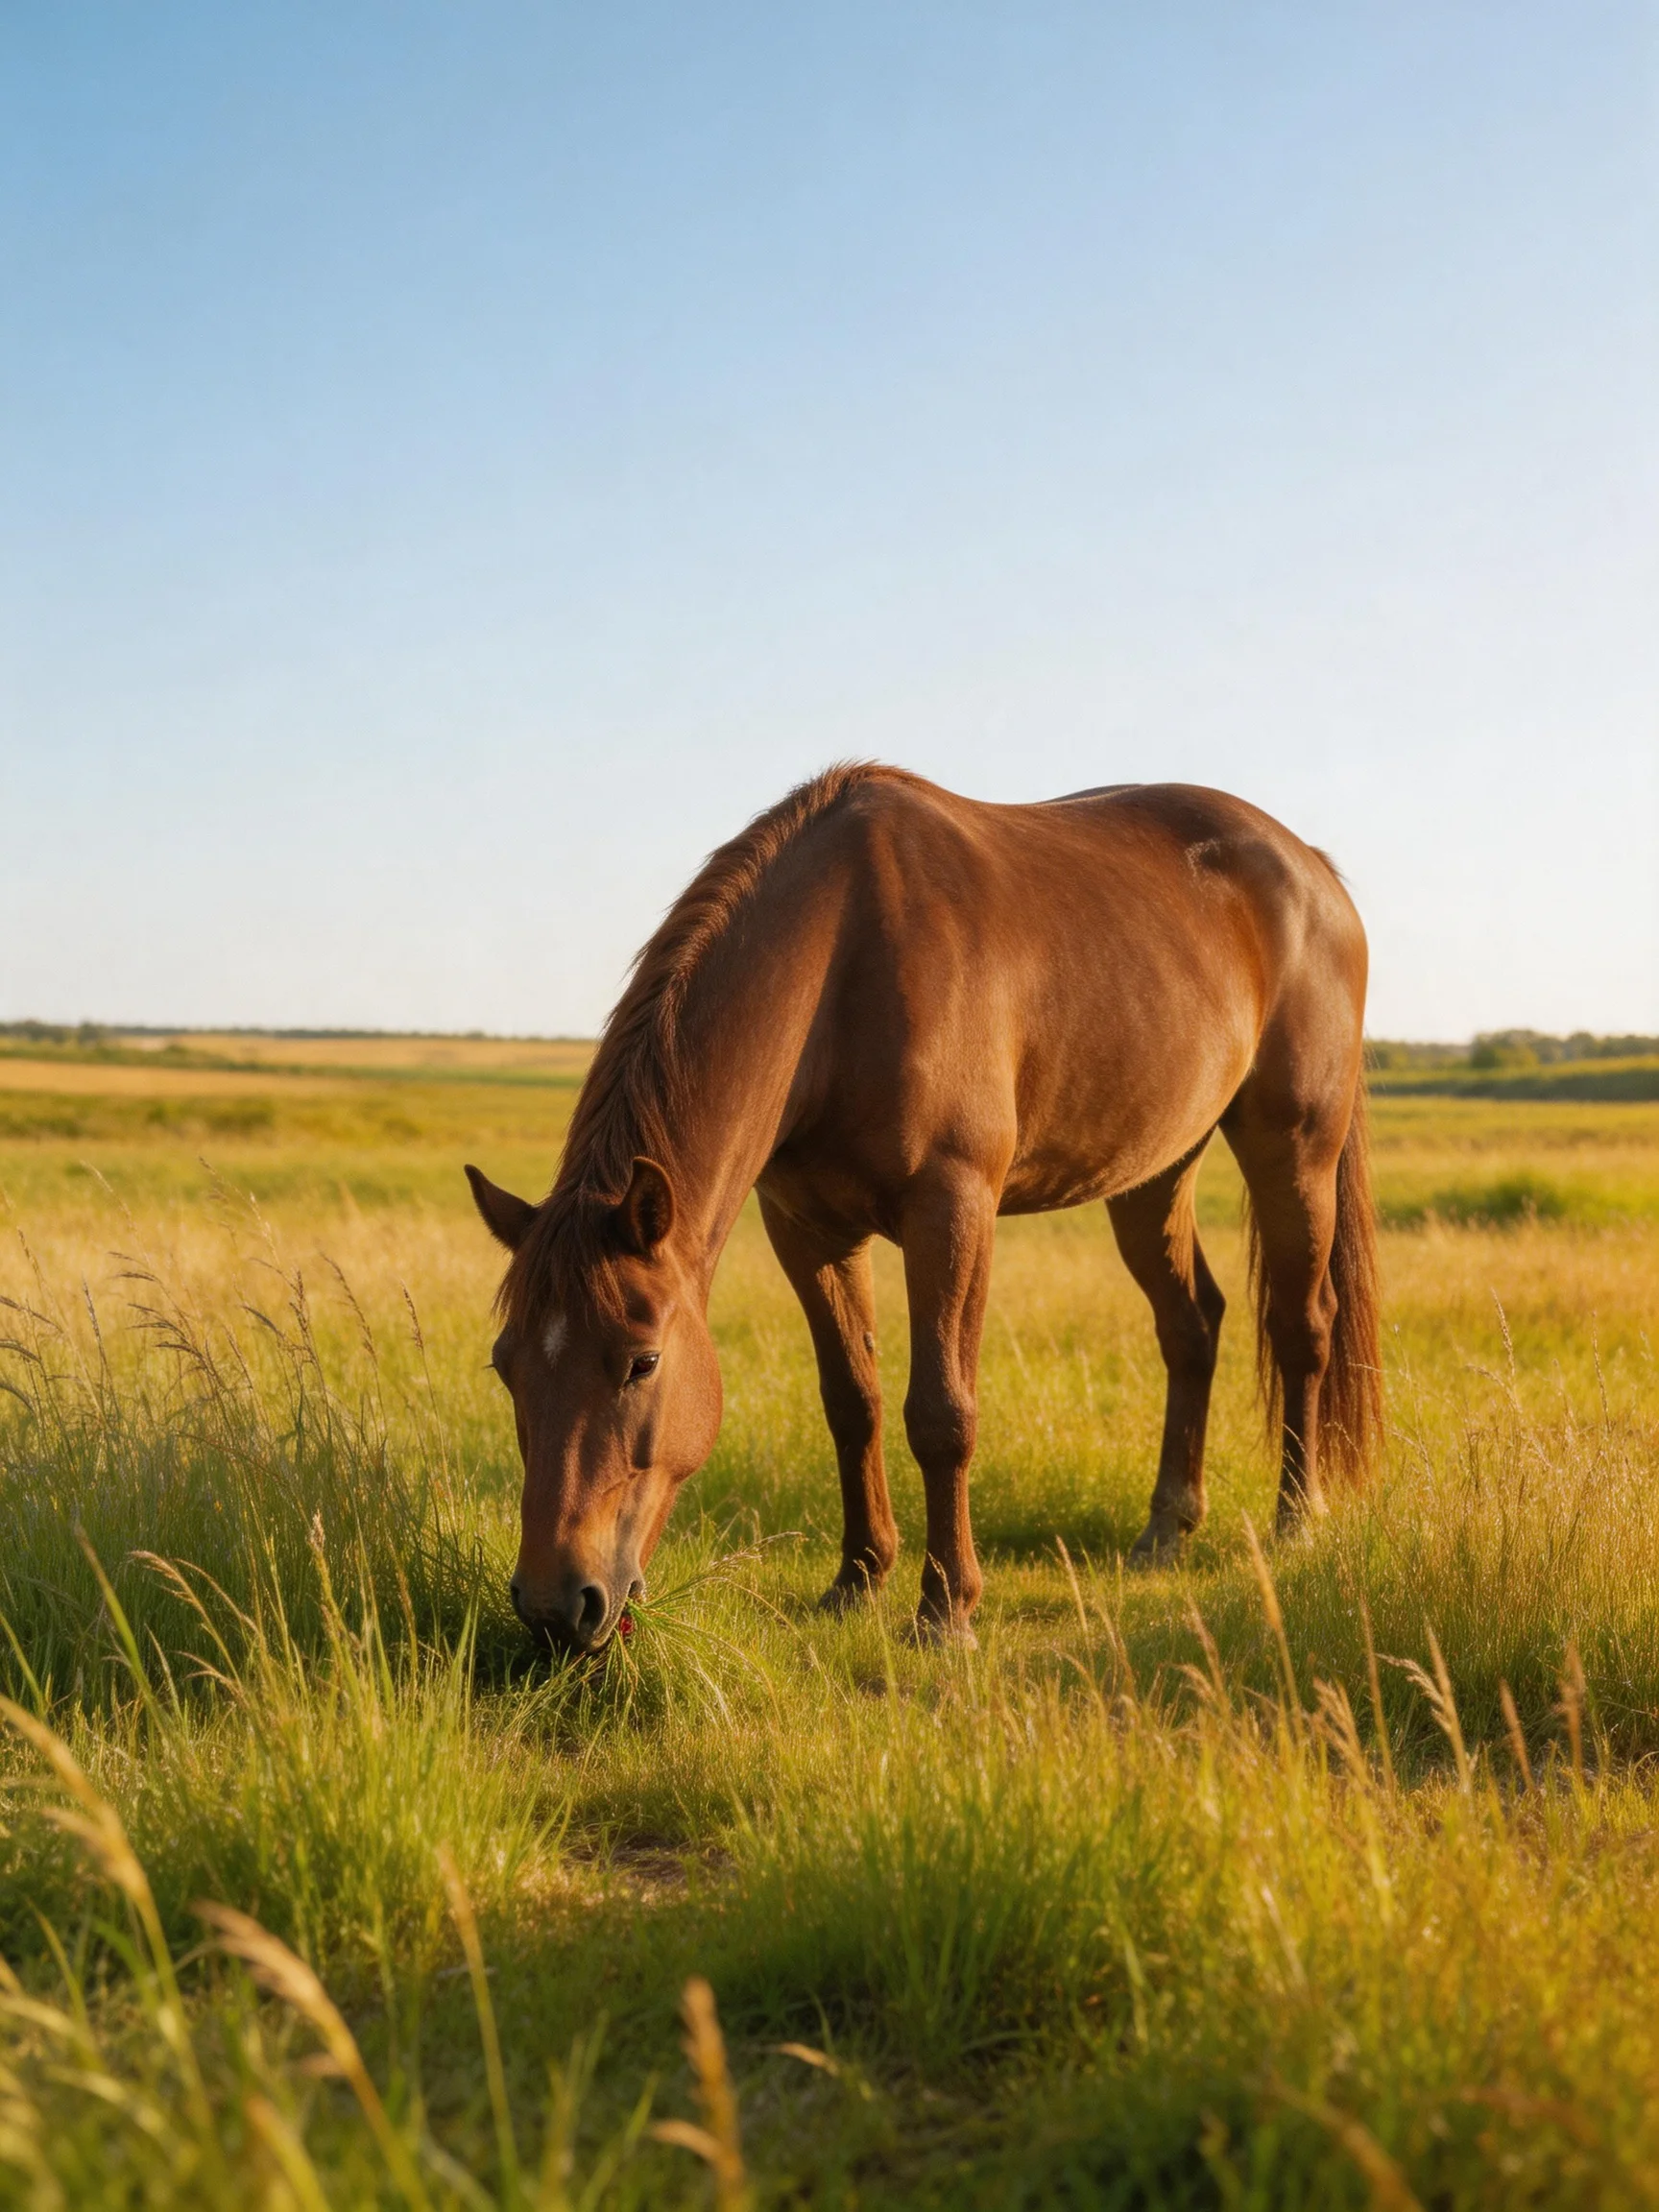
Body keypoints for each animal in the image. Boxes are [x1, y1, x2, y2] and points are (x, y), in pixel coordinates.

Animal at [467, 764, 1382, 1652]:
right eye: (506, 1364)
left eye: (643, 1362)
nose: (556, 1607)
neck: (842, 968)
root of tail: (1311, 869)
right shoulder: (808, 1231)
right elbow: (853, 1402)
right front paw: (858, 1579)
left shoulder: (951, 1210)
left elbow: (941, 1413)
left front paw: (946, 1610)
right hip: (1153, 1174)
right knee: (1191, 1325)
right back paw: (1165, 1531)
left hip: (1293, 1148)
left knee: (1302, 1326)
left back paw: (1297, 1520)